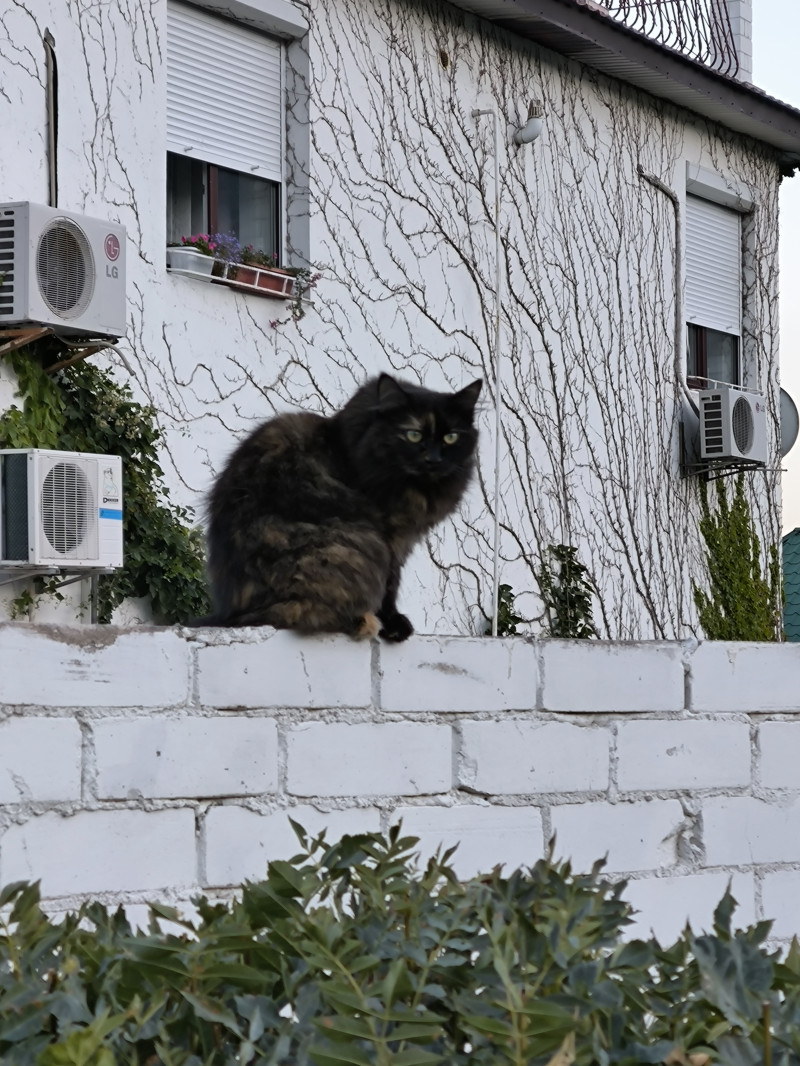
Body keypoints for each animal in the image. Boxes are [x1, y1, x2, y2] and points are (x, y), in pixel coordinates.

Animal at [204, 373, 482, 641]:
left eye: (451, 437)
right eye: (413, 435)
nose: (434, 460)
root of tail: (232, 613)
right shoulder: (390, 539)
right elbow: (390, 587)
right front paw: (393, 624)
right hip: (363, 543)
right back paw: (366, 622)